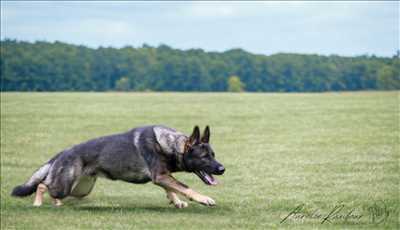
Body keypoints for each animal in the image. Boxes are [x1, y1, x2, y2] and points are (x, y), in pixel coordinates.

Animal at [10, 126, 225, 208]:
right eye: (204, 157)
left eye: (213, 155)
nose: (222, 169)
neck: (170, 145)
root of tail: (62, 152)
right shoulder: (161, 175)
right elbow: (184, 187)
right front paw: (204, 198)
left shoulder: (162, 176)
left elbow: (172, 188)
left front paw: (176, 201)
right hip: (65, 185)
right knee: (42, 185)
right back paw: (38, 203)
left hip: (79, 190)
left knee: (50, 188)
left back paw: (56, 204)